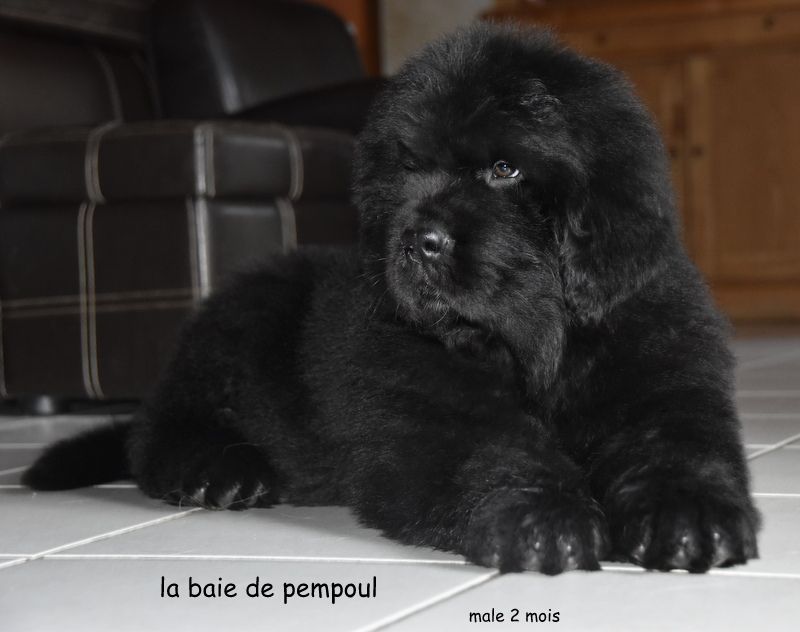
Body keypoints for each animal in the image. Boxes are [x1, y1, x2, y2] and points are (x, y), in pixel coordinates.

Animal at [25, 23, 759, 575]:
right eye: (408, 166)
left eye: (505, 168)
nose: (418, 242)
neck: (531, 343)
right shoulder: (428, 405)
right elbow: (495, 446)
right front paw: (543, 517)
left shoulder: (655, 372)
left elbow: (673, 442)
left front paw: (688, 516)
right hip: (245, 318)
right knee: (154, 429)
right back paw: (220, 470)